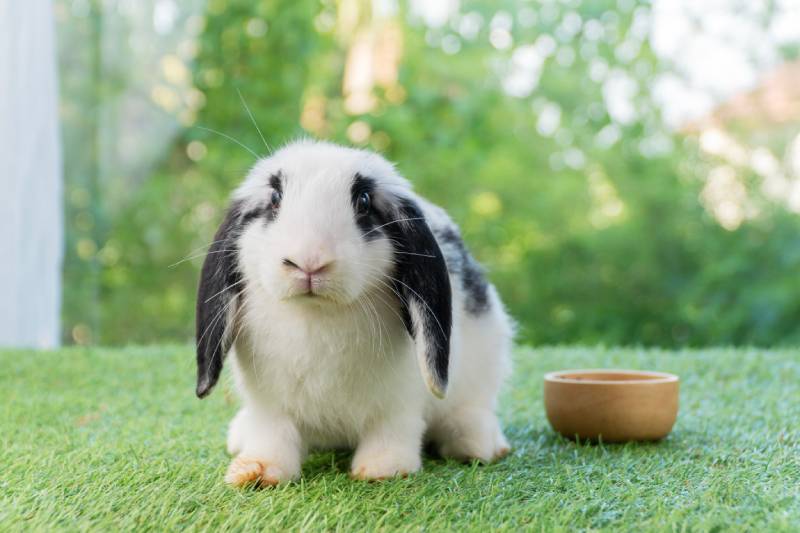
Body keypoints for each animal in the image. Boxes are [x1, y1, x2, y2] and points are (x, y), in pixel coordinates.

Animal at [195, 139, 513, 486]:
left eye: (363, 201)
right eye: (275, 198)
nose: (309, 262)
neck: (316, 315)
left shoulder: (398, 402)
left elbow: (391, 429)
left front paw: (382, 470)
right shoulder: (270, 406)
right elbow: (274, 435)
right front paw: (257, 472)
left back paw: (478, 444)